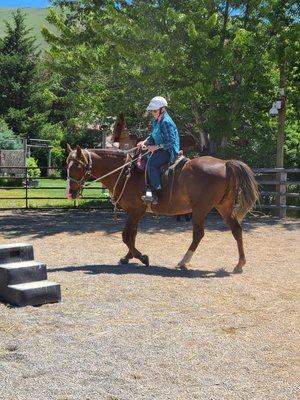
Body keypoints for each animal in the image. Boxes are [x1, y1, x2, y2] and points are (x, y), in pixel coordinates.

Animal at [67, 145, 258, 274]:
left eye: (77, 166)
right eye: (67, 165)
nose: (70, 192)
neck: (127, 172)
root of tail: (225, 164)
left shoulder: (136, 210)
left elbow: (126, 235)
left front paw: (142, 257)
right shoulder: (134, 212)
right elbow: (132, 234)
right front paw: (128, 257)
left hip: (200, 209)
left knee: (198, 234)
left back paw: (183, 262)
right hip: (223, 207)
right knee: (236, 230)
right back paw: (239, 264)